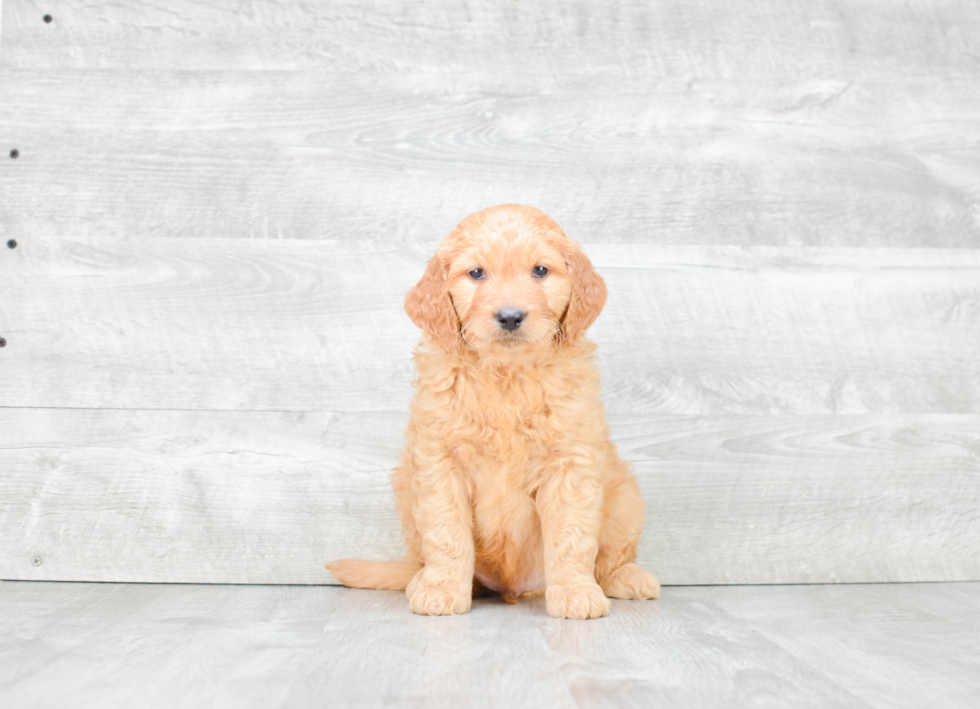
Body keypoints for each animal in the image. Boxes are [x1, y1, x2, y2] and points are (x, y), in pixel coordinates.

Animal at [328, 202, 660, 616]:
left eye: (540, 270)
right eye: (476, 273)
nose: (510, 316)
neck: (506, 375)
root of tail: (512, 589)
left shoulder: (570, 463)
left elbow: (571, 537)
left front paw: (575, 594)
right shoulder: (440, 463)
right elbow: (446, 534)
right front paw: (441, 590)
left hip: (625, 498)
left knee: (611, 557)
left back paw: (626, 577)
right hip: (406, 490)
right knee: (421, 558)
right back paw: (422, 580)